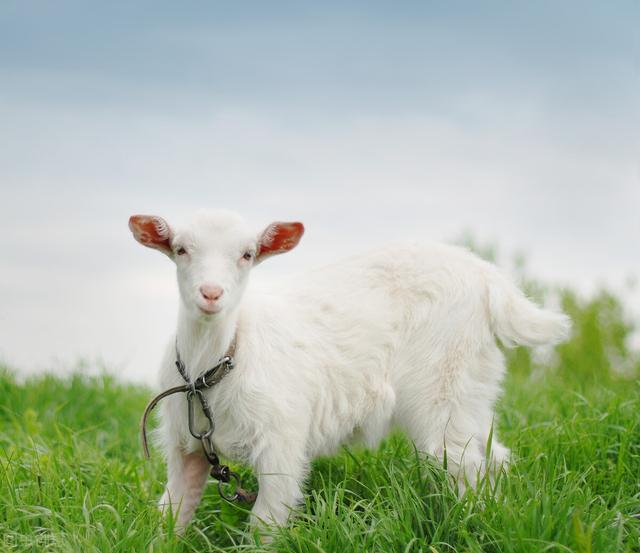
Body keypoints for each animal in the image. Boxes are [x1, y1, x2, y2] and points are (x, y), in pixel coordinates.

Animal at [127, 208, 568, 532]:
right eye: (181, 249)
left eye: (248, 254)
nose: (211, 294)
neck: (215, 365)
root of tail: (488, 278)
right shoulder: (187, 450)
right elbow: (170, 515)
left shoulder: (282, 442)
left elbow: (266, 523)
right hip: (471, 389)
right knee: (493, 455)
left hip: (442, 385)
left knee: (463, 466)